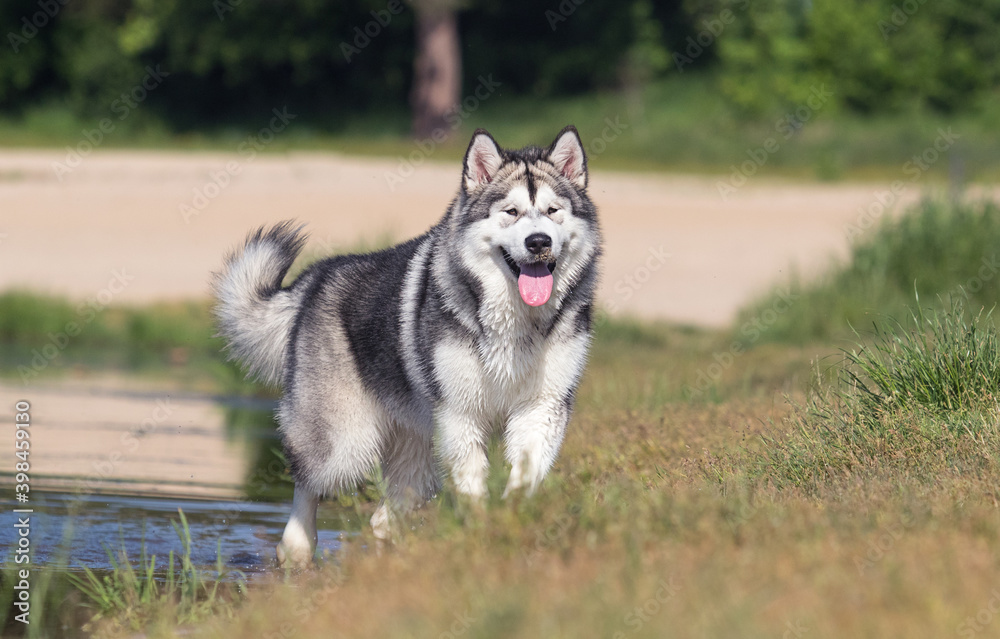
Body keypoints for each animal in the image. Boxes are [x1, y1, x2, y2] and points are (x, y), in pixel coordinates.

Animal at [212, 127, 600, 568]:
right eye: (512, 212)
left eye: (553, 211)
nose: (538, 242)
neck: (517, 322)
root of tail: (316, 277)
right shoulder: (460, 414)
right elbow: (472, 485)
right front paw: (480, 533)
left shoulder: (542, 408)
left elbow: (525, 477)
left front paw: (508, 527)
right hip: (346, 442)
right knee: (309, 484)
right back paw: (296, 549)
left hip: (420, 455)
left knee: (384, 516)